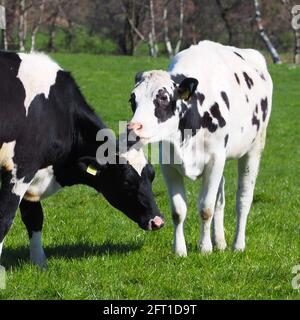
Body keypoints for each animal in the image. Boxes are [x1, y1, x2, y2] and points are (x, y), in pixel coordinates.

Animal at [0, 51, 164, 268]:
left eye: (152, 175)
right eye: (126, 181)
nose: (158, 220)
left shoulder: (33, 175)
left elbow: (34, 217)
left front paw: (40, 263)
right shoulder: (21, 169)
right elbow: (4, 219)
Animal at [127, 40, 274, 255]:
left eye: (163, 98)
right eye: (133, 99)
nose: (133, 127)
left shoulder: (214, 161)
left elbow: (206, 208)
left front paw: (205, 248)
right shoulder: (169, 166)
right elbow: (178, 211)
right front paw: (179, 250)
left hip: (254, 148)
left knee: (243, 199)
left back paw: (238, 245)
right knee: (220, 199)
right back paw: (220, 242)